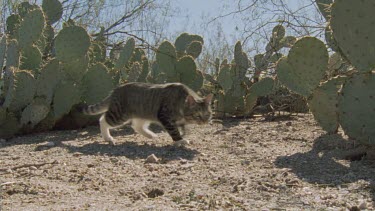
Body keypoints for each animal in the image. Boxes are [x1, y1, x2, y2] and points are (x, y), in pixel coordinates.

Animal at [80, 82, 213, 147]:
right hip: (119, 114)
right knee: (103, 119)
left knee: (136, 126)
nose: (204, 122)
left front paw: (184, 134)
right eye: (197, 115)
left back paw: (150, 135)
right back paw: (107, 137)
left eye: (207, 115)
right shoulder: (164, 116)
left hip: (143, 113)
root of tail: (115, 90)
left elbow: (182, 128)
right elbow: (174, 131)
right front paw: (180, 141)